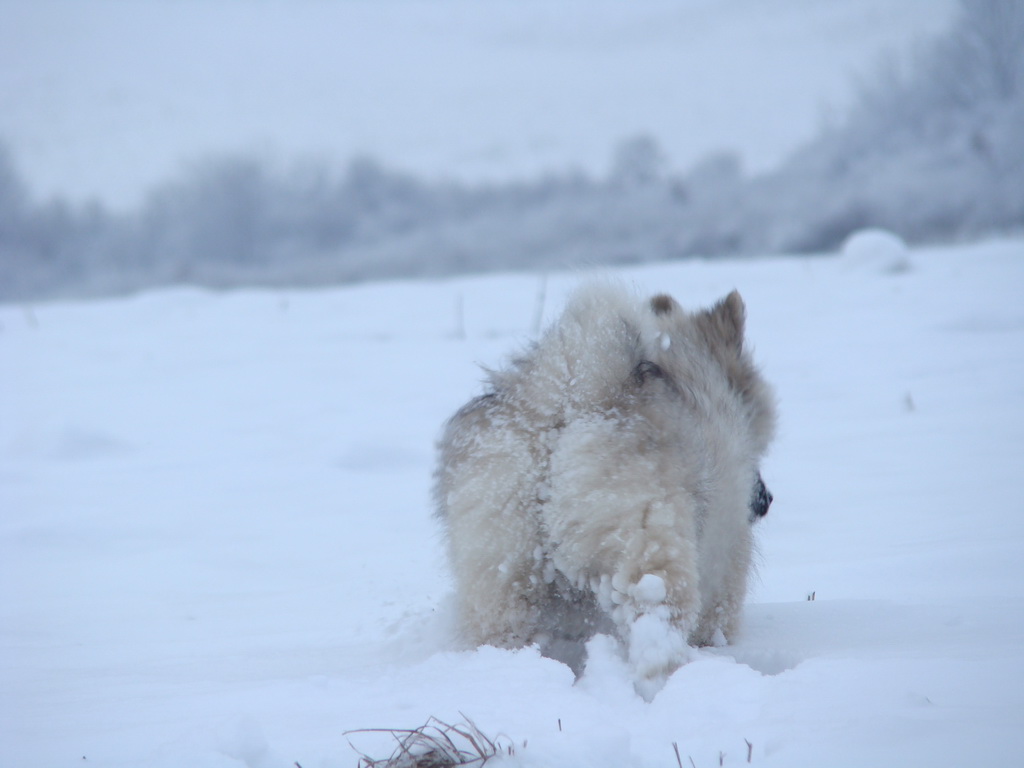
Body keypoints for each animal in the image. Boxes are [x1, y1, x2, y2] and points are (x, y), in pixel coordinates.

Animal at [432, 282, 774, 696]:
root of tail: (567, 403)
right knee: (654, 630)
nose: (766, 499)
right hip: (649, 546)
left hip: (501, 574)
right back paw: (665, 684)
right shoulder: (725, 560)